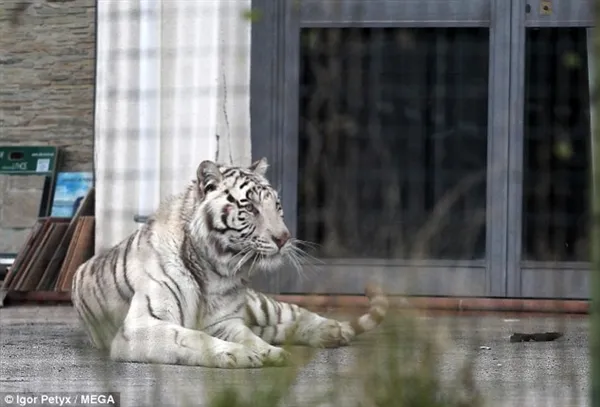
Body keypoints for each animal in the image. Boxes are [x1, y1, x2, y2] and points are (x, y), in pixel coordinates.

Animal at [71, 159, 390, 370]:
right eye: (250, 207)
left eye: (276, 206)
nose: (284, 238)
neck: (213, 270)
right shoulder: (140, 326)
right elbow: (192, 337)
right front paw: (241, 355)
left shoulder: (226, 322)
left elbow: (250, 337)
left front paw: (266, 352)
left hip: (260, 305)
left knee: (293, 314)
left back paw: (332, 331)